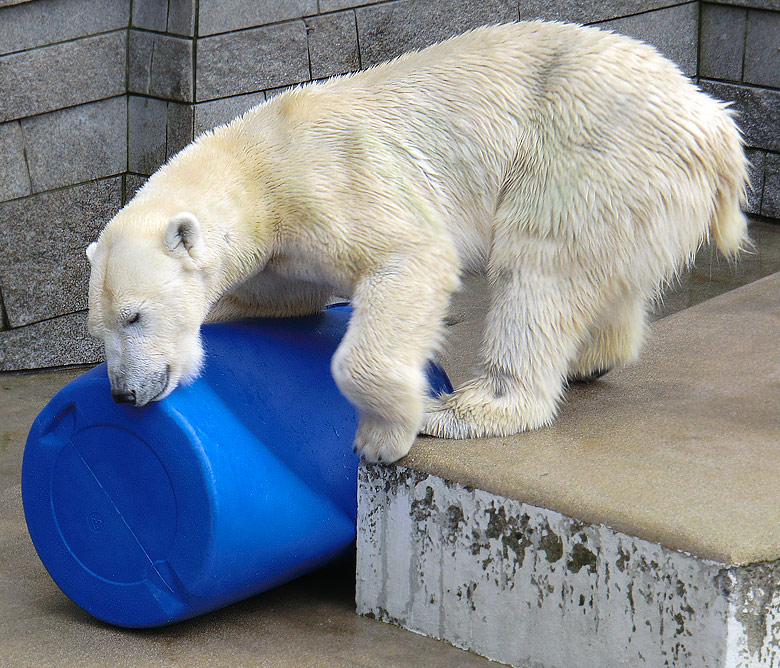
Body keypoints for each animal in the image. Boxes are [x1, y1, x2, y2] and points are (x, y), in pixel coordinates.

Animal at [85, 19, 748, 460]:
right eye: (99, 327)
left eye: (136, 315)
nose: (122, 394)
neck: (257, 162)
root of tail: (714, 121)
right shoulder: (282, 250)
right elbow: (277, 296)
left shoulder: (330, 182)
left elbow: (411, 258)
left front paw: (385, 433)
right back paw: (591, 359)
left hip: (587, 148)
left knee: (539, 270)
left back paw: (470, 409)